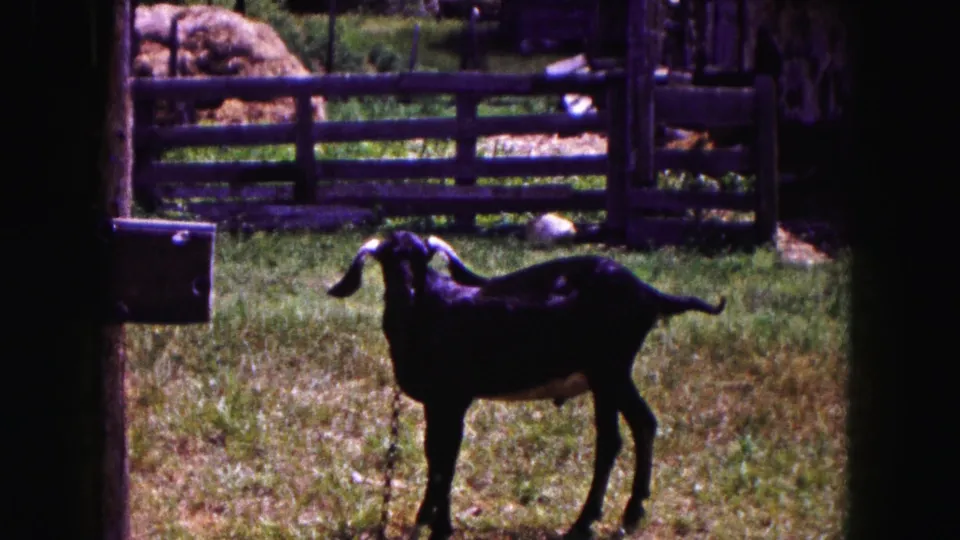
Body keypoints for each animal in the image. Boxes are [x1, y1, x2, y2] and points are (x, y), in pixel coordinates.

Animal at [327, 231, 726, 540]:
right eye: (386, 259)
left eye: (423, 259)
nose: (406, 293)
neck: (430, 313)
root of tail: (648, 292)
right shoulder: (437, 402)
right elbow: (434, 453)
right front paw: (429, 518)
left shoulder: (453, 398)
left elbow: (445, 459)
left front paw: (439, 525)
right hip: (611, 376)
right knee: (635, 428)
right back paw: (622, 514)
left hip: (609, 370)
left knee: (619, 436)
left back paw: (590, 521)